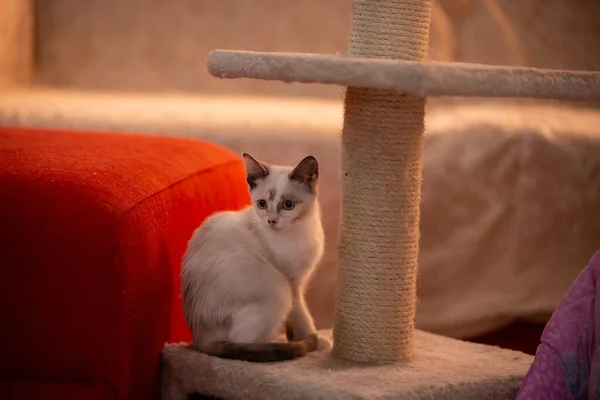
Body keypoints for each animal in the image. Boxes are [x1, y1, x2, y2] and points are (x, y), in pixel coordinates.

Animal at [180, 153, 326, 362]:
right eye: (262, 204)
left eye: (288, 205)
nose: (271, 221)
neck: (300, 229)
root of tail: (200, 338)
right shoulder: (293, 284)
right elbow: (302, 316)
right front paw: (316, 340)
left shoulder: (300, 280)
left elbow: (294, 321)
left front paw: (294, 337)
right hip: (279, 291)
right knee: (242, 340)